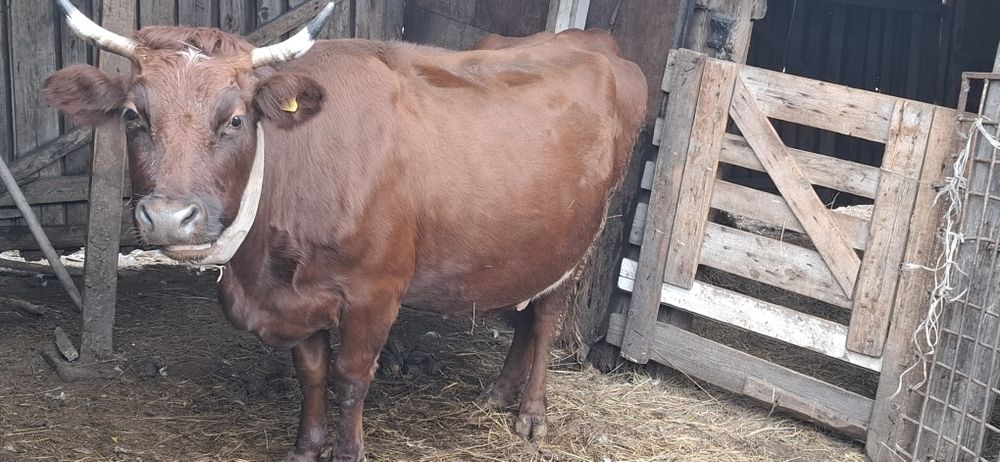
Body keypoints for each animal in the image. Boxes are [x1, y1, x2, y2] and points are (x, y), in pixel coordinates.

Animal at [44, 1, 647, 460]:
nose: (169, 216)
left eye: (236, 118)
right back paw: (497, 393)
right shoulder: (297, 297)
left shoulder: (375, 293)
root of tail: (590, 39)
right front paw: (306, 447)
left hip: (583, 239)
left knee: (545, 318)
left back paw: (531, 413)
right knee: (523, 310)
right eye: (132, 116)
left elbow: (351, 378)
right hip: (529, 240)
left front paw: (347, 451)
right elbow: (311, 373)